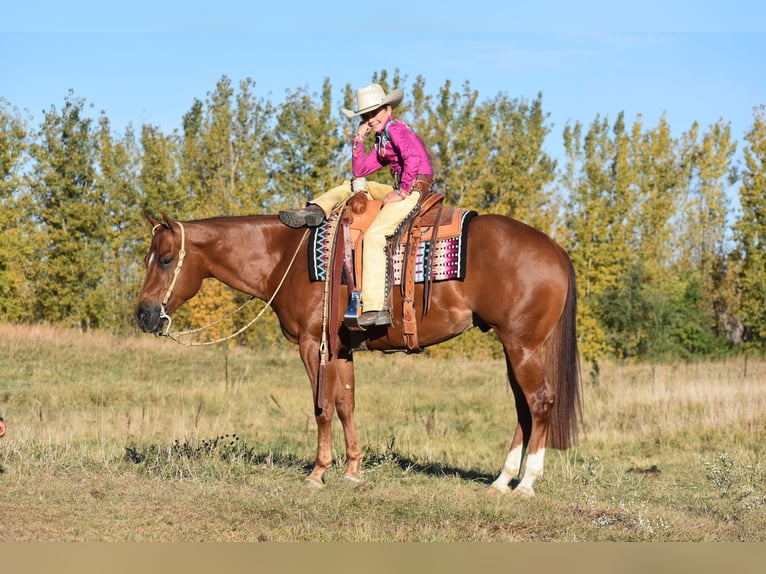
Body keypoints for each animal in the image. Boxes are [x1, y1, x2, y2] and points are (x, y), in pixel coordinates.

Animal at [136, 212, 584, 500]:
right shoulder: (343, 350)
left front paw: (318, 473)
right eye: (148, 258)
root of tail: (557, 251)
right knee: (523, 409)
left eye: (166, 259)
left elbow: (321, 407)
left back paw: (526, 483)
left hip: (522, 346)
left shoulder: (314, 345)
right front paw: (352, 471)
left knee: (540, 402)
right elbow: (345, 405)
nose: (143, 314)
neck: (287, 257)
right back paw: (502, 480)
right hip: (514, 348)